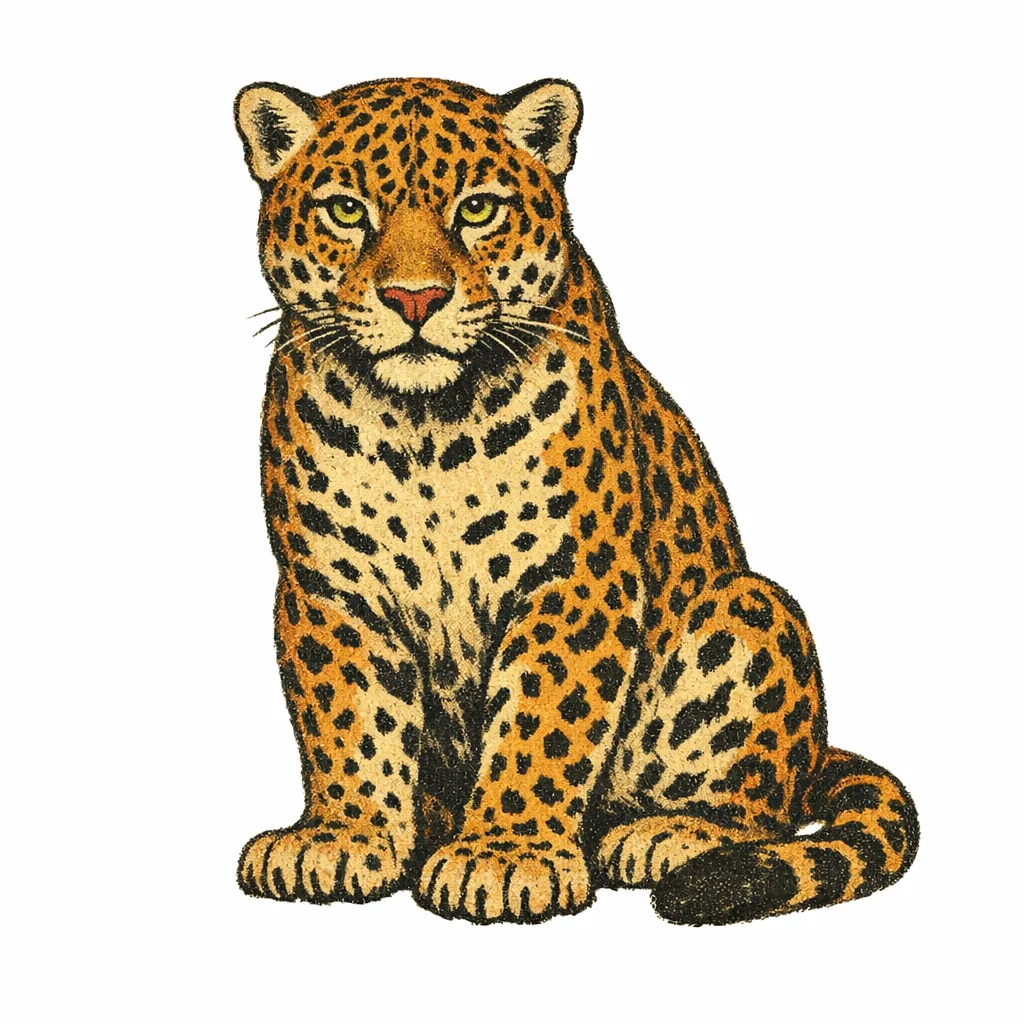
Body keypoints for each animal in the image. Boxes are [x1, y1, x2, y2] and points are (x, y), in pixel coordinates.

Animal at [232, 76, 918, 925]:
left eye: (477, 209)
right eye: (345, 210)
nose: (414, 299)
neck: (422, 425)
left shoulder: (574, 577)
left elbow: (542, 718)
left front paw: (503, 856)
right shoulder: (333, 584)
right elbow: (350, 718)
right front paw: (342, 836)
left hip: (752, 610)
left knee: (761, 806)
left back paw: (667, 833)